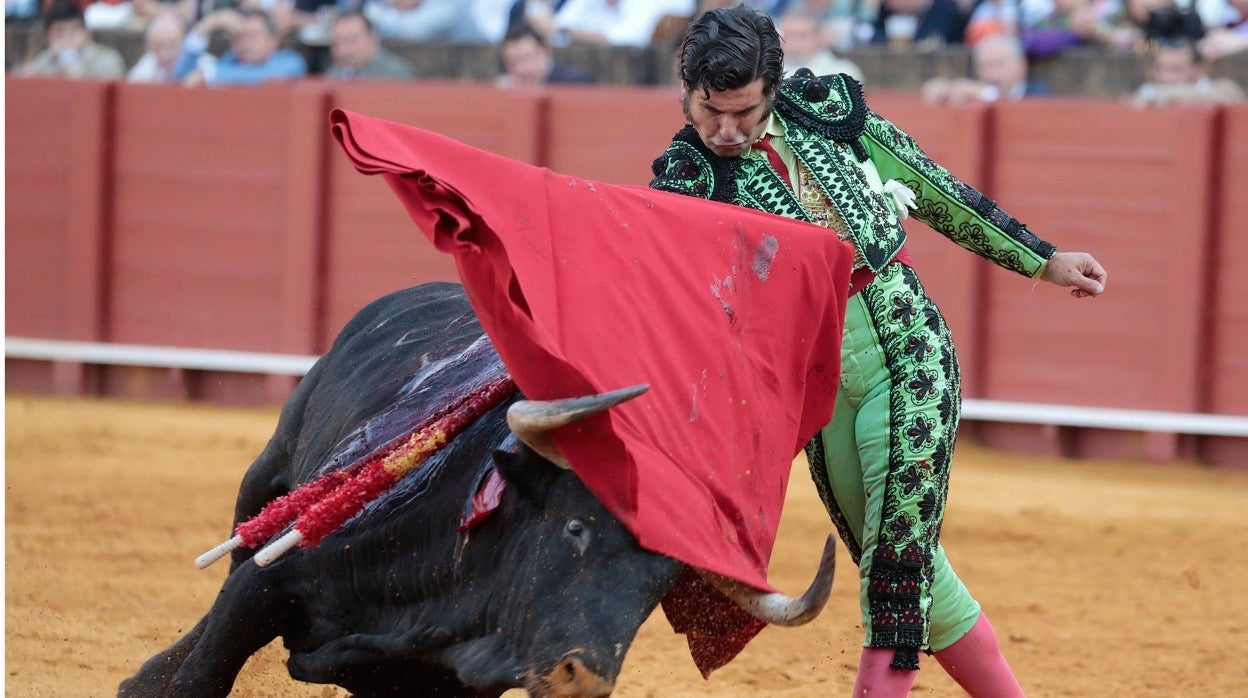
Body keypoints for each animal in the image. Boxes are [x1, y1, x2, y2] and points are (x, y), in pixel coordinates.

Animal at [121, 280, 833, 694]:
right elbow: (205, 668)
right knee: (239, 553)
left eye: (661, 584)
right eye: (575, 528)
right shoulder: (270, 585)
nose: (583, 679)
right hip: (265, 479)